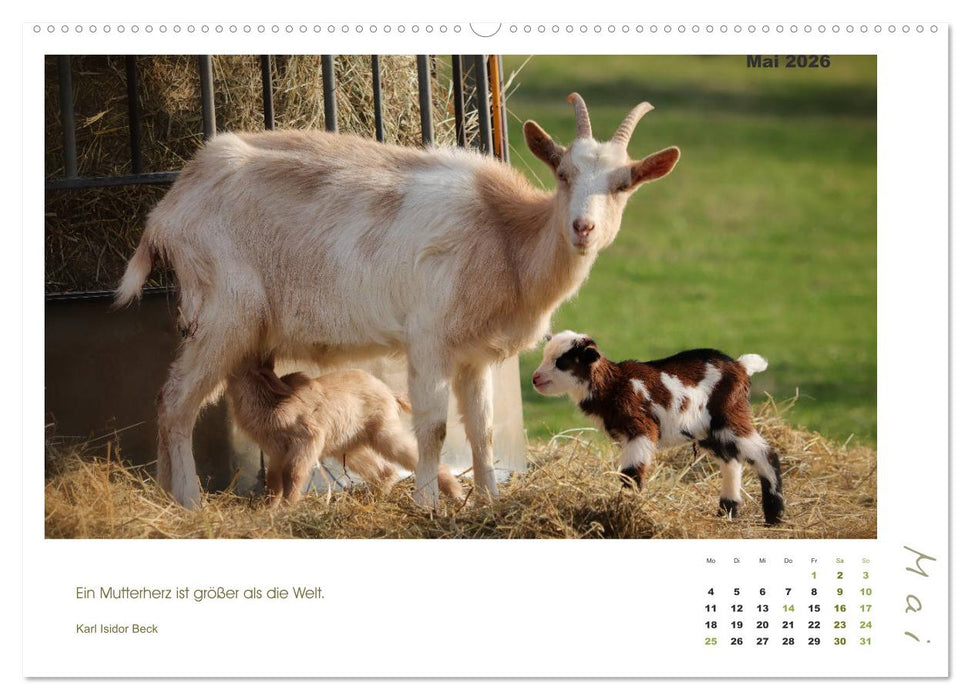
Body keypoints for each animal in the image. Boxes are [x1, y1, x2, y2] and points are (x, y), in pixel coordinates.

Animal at [225, 357, 464, 506]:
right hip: (349, 447)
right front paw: (269, 510)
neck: (268, 401)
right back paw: (374, 499)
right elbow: (273, 482)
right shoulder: (275, 453)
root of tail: (389, 391)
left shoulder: (307, 439)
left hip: (385, 434)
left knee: (418, 459)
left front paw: (288, 506)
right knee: (385, 470)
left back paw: (458, 496)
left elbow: (293, 474)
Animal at [531, 331, 784, 524]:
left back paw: (774, 515)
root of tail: (741, 366)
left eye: (561, 362)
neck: (615, 385)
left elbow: (631, 472)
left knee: (765, 454)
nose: (535, 378)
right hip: (710, 431)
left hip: (730, 417)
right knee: (731, 461)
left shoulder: (641, 430)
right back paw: (727, 511)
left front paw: (624, 509)